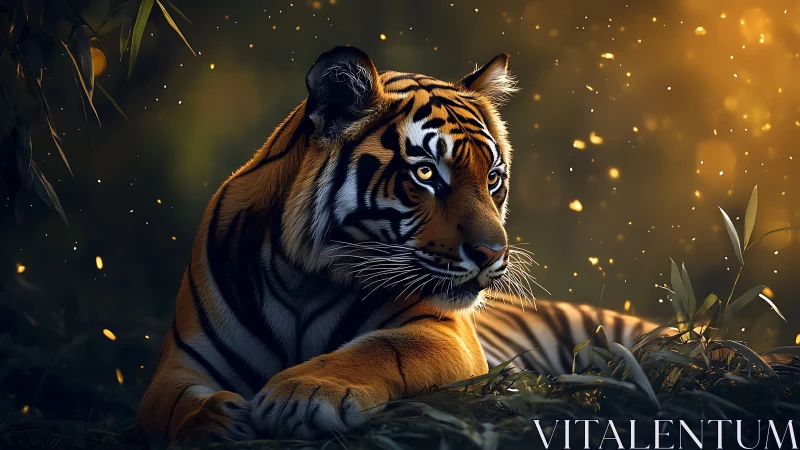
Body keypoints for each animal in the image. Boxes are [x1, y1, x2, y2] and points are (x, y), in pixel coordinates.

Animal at [136, 46, 661, 445]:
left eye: (492, 178)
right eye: (426, 173)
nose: (493, 254)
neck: (302, 280)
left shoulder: (443, 331)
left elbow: (377, 349)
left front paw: (302, 393)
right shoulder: (180, 364)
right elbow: (175, 404)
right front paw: (216, 419)